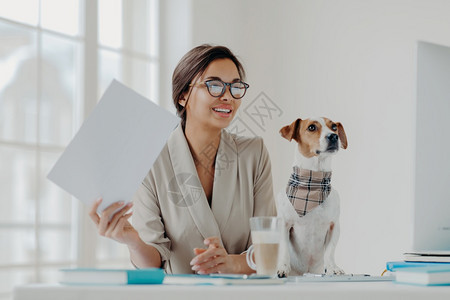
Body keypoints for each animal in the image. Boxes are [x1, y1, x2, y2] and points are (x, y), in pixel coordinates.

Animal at [274, 117, 348, 276]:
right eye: (312, 127)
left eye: (334, 127)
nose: (334, 136)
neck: (312, 183)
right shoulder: (284, 224)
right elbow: (284, 250)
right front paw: (283, 267)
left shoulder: (334, 226)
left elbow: (330, 251)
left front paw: (333, 267)